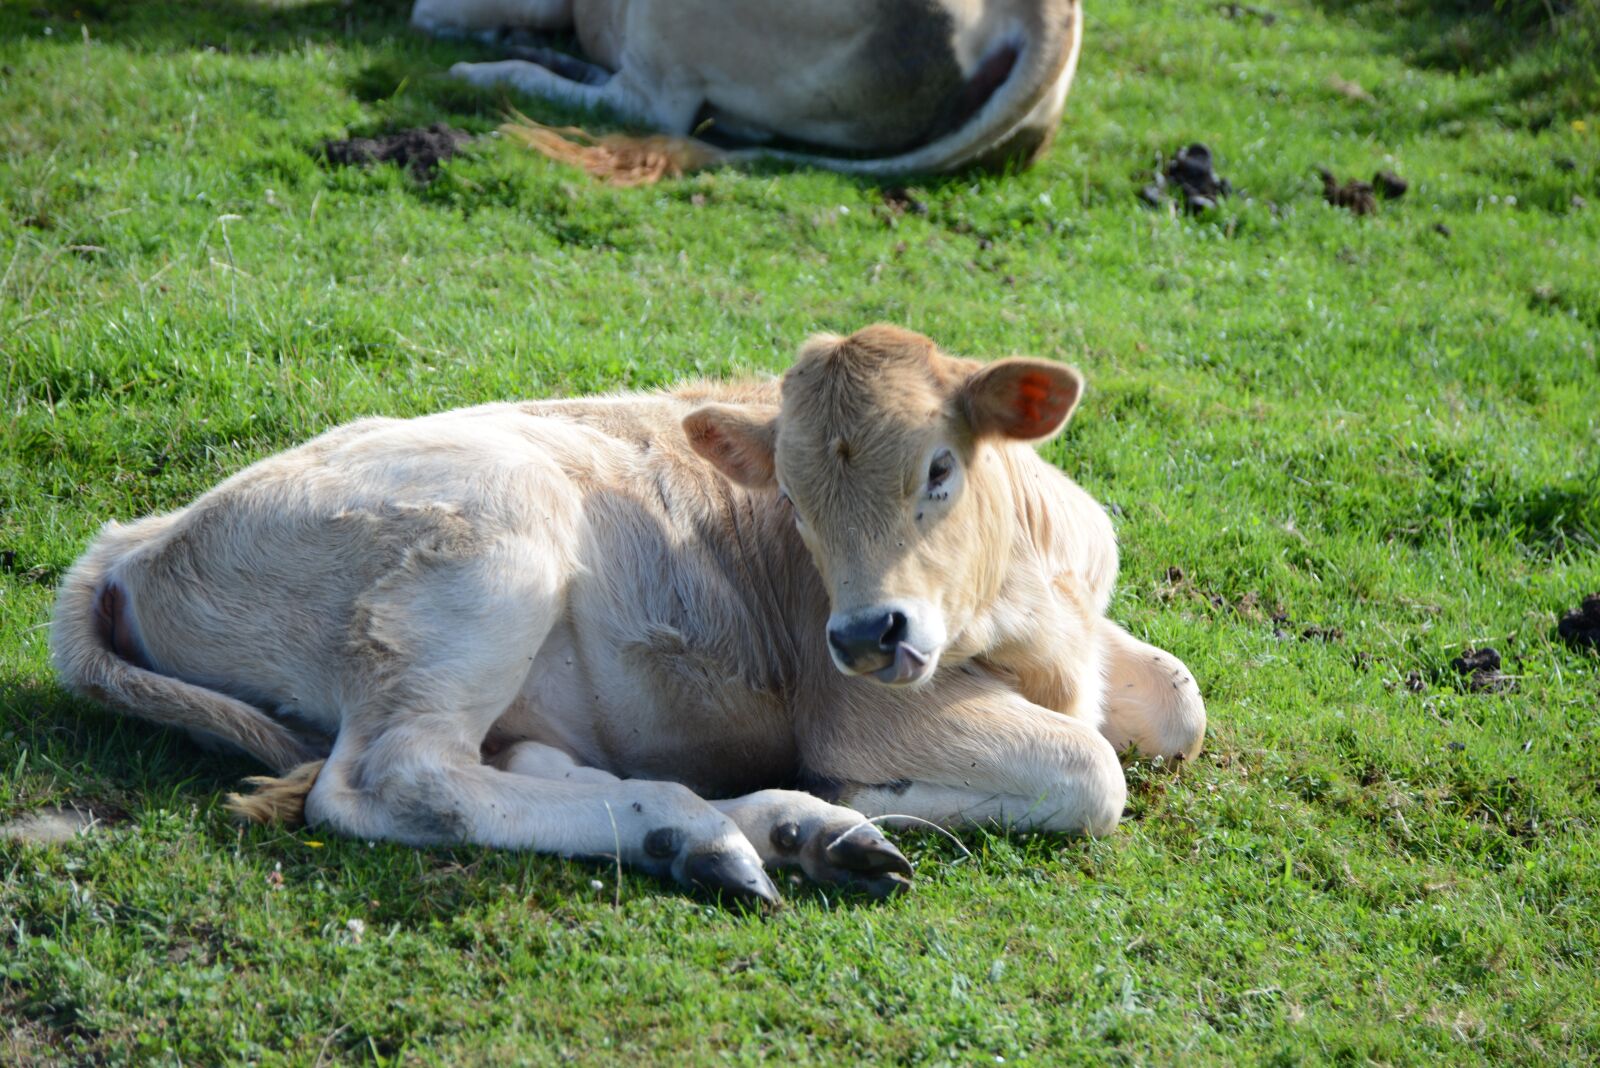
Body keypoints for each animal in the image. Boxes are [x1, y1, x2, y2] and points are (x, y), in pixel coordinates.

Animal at [51, 325, 1205, 905]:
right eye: (793, 500)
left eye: (938, 469)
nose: (863, 634)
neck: (1030, 600)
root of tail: (139, 538)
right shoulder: (861, 708)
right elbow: (1091, 774)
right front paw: (878, 792)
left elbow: (1181, 705)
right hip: (487, 549)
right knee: (394, 780)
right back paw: (715, 830)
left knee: (513, 762)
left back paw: (776, 834)